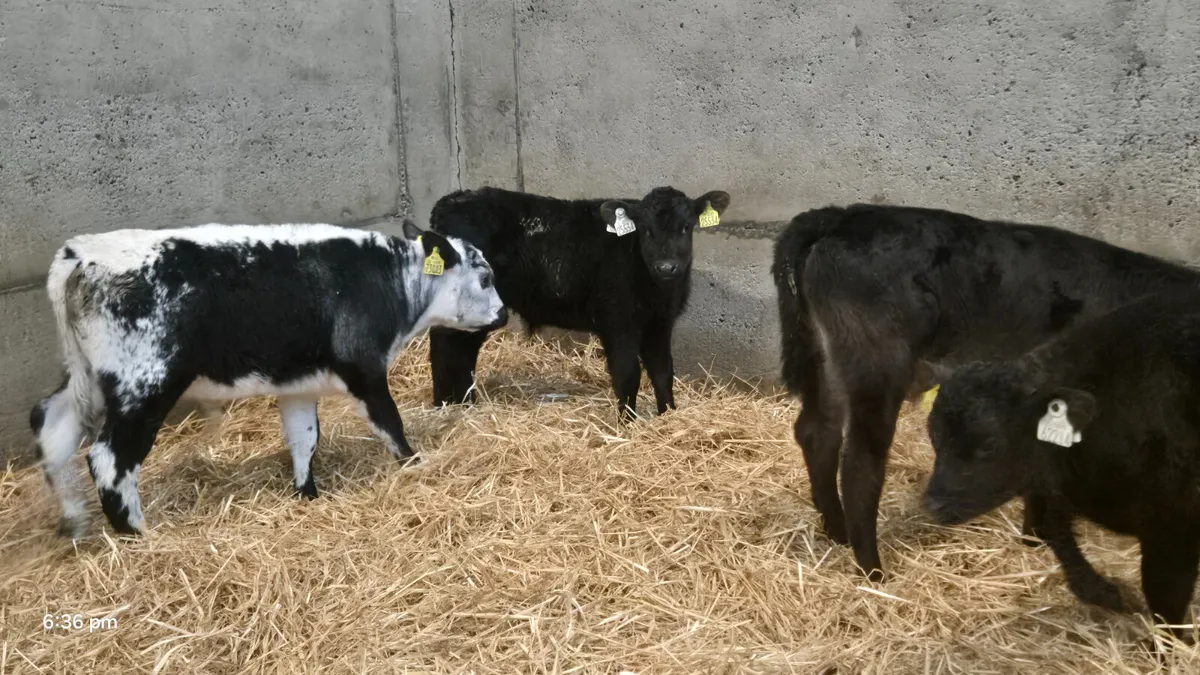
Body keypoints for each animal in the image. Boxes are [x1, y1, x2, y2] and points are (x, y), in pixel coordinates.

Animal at [30, 220, 506, 537]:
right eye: (485, 277)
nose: (502, 314)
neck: (390, 281)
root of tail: (79, 253)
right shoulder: (363, 368)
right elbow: (390, 424)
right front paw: (416, 465)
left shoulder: (298, 385)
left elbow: (303, 438)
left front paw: (307, 494)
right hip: (143, 385)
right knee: (110, 458)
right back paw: (138, 535)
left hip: (87, 380)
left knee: (50, 425)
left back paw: (74, 521)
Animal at [425, 186, 731, 422]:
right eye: (645, 229)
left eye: (687, 226)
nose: (667, 267)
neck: (657, 289)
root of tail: (451, 201)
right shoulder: (618, 322)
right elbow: (628, 374)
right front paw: (627, 424)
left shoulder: (660, 323)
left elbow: (663, 371)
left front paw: (668, 416)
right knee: (445, 344)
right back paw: (444, 404)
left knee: (463, 349)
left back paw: (464, 402)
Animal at [771, 203, 1200, 581]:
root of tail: (838, 216)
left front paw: (1035, 539)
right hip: (877, 362)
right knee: (860, 463)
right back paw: (872, 571)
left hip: (826, 356)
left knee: (818, 432)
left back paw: (837, 532)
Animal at [925, 291, 1200, 639]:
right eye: (933, 433)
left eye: (989, 444)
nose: (934, 504)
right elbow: (1053, 531)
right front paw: (1106, 593)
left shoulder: (1175, 528)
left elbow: (1166, 602)